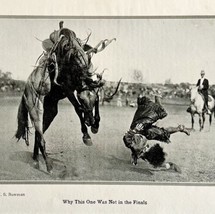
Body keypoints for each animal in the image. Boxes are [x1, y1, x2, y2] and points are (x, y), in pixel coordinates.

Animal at [14, 26, 119, 172]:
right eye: (82, 99)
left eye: (92, 101)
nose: (90, 121)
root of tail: (25, 91)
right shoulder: (67, 89)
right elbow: (78, 108)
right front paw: (86, 136)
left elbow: (97, 98)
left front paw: (95, 125)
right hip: (35, 109)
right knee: (40, 133)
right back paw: (48, 165)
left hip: (50, 112)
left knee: (38, 134)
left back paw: (36, 159)